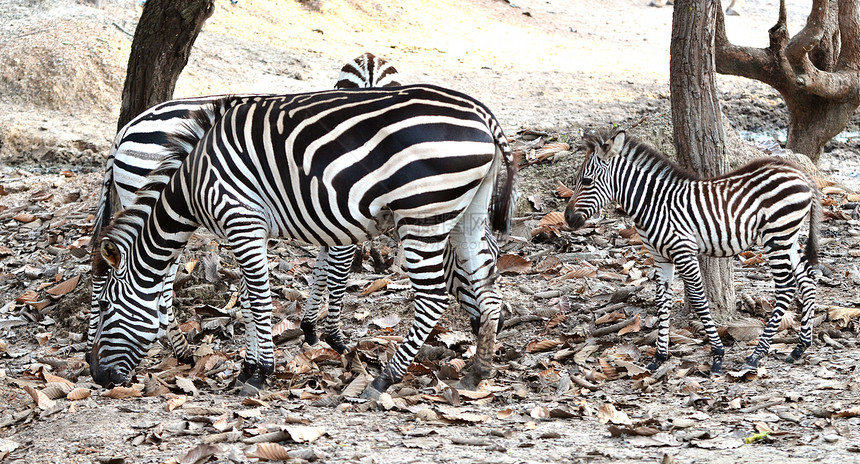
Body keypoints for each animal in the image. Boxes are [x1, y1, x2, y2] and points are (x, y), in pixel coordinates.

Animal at [90, 86, 512, 398]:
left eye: (110, 307)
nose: (97, 377)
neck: (193, 181)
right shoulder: (248, 227)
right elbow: (252, 300)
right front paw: (252, 365)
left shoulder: (245, 220)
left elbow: (265, 298)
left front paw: (261, 372)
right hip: (465, 211)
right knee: (485, 286)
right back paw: (478, 371)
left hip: (423, 209)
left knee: (434, 297)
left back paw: (386, 378)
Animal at [564, 127, 820, 374]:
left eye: (586, 181)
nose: (567, 218)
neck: (653, 204)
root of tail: (797, 169)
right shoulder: (660, 257)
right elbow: (662, 300)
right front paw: (659, 357)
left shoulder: (684, 251)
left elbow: (698, 298)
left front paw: (717, 354)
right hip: (788, 238)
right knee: (807, 280)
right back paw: (799, 347)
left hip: (776, 236)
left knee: (786, 288)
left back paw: (756, 356)